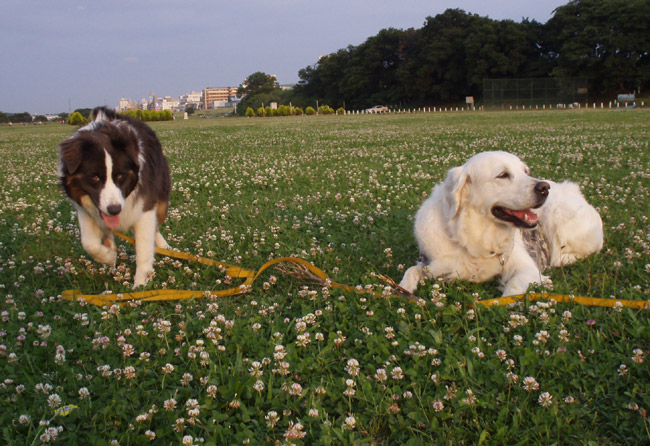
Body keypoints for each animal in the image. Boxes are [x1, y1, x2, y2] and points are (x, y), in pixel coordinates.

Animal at [58, 106, 171, 288]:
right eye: (95, 177)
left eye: (120, 175)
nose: (114, 209)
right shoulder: (85, 210)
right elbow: (89, 243)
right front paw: (109, 257)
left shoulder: (144, 208)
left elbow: (143, 249)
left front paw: (141, 284)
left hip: (161, 200)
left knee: (156, 225)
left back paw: (164, 246)